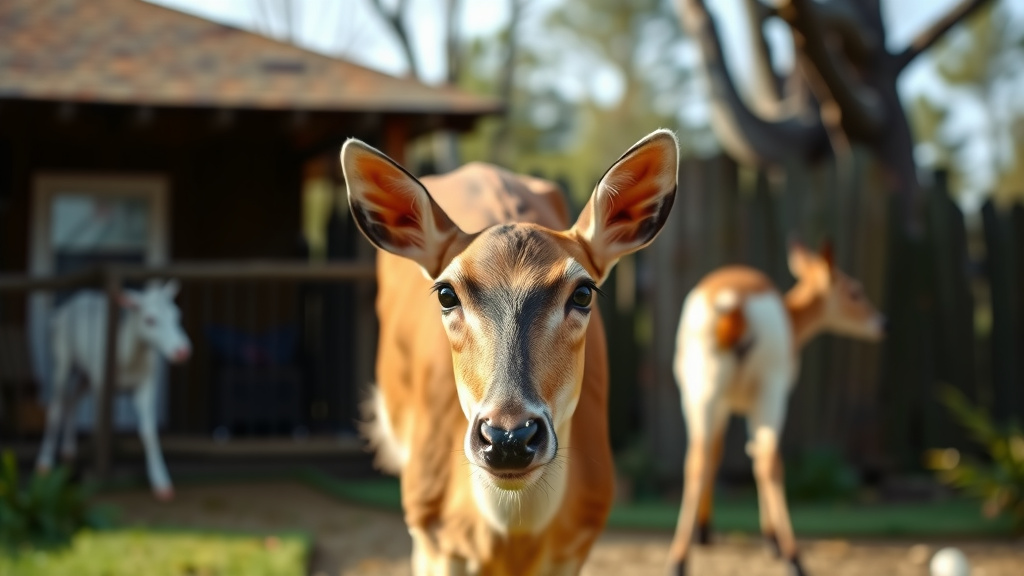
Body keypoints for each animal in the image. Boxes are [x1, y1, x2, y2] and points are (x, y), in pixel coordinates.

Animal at [340, 129, 678, 575]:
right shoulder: (431, 531)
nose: (508, 438)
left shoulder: (578, 543)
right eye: (446, 293)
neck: (512, 541)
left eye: (583, 292)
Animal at [668, 241, 886, 576]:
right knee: (769, 459)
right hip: (768, 393)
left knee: (696, 460)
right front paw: (771, 541)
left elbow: (719, 456)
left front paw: (705, 533)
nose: (882, 323)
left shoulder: (724, 405)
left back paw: (678, 559)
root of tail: (736, 303)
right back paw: (793, 557)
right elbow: (753, 456)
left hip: (701, 394)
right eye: (855, 291)